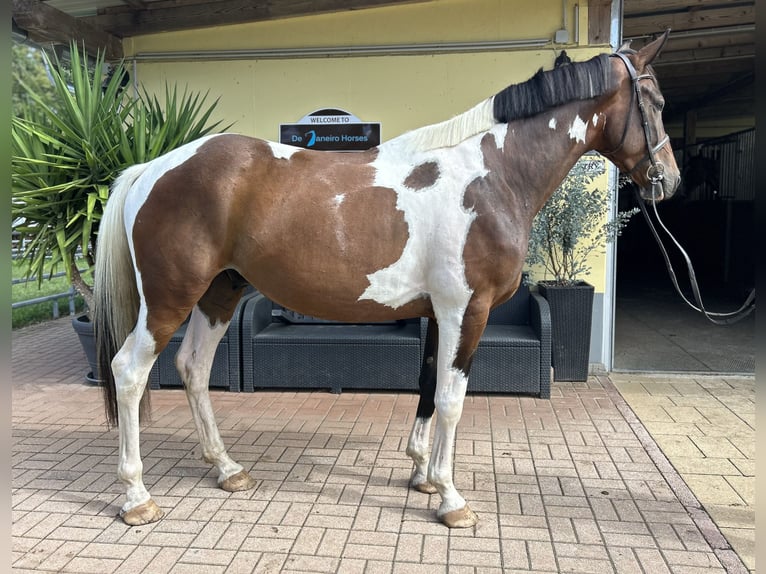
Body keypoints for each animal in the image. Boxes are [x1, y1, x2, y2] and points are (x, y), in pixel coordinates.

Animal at [94, 31, 679, 529]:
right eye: (655, 102)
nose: (668, 181)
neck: (490, 177)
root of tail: (149, 168)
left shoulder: (440, 313)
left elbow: (427, 384)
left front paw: (422, 474)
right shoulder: (466, 310)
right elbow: (452, 398)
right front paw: (451, 498)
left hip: (219, 293)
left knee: (193, 368)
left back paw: (227, 469)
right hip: (168, 299)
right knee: (129, 371)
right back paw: (137, 497)